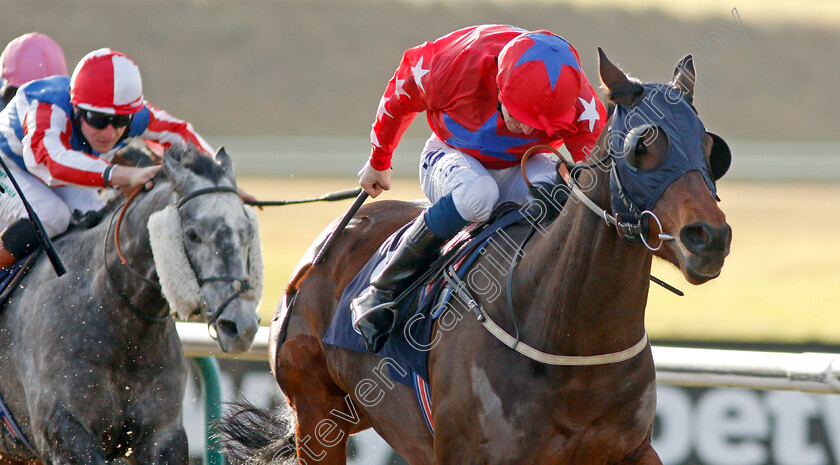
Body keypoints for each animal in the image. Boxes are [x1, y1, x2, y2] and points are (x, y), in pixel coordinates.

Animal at [220, 49, 732, 462]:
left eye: (711, 148)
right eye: (641, 145)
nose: (708, 237)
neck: (567, 340)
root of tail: (324, 247)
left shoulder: (630, 450)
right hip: (316, 418)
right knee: (469, 197)